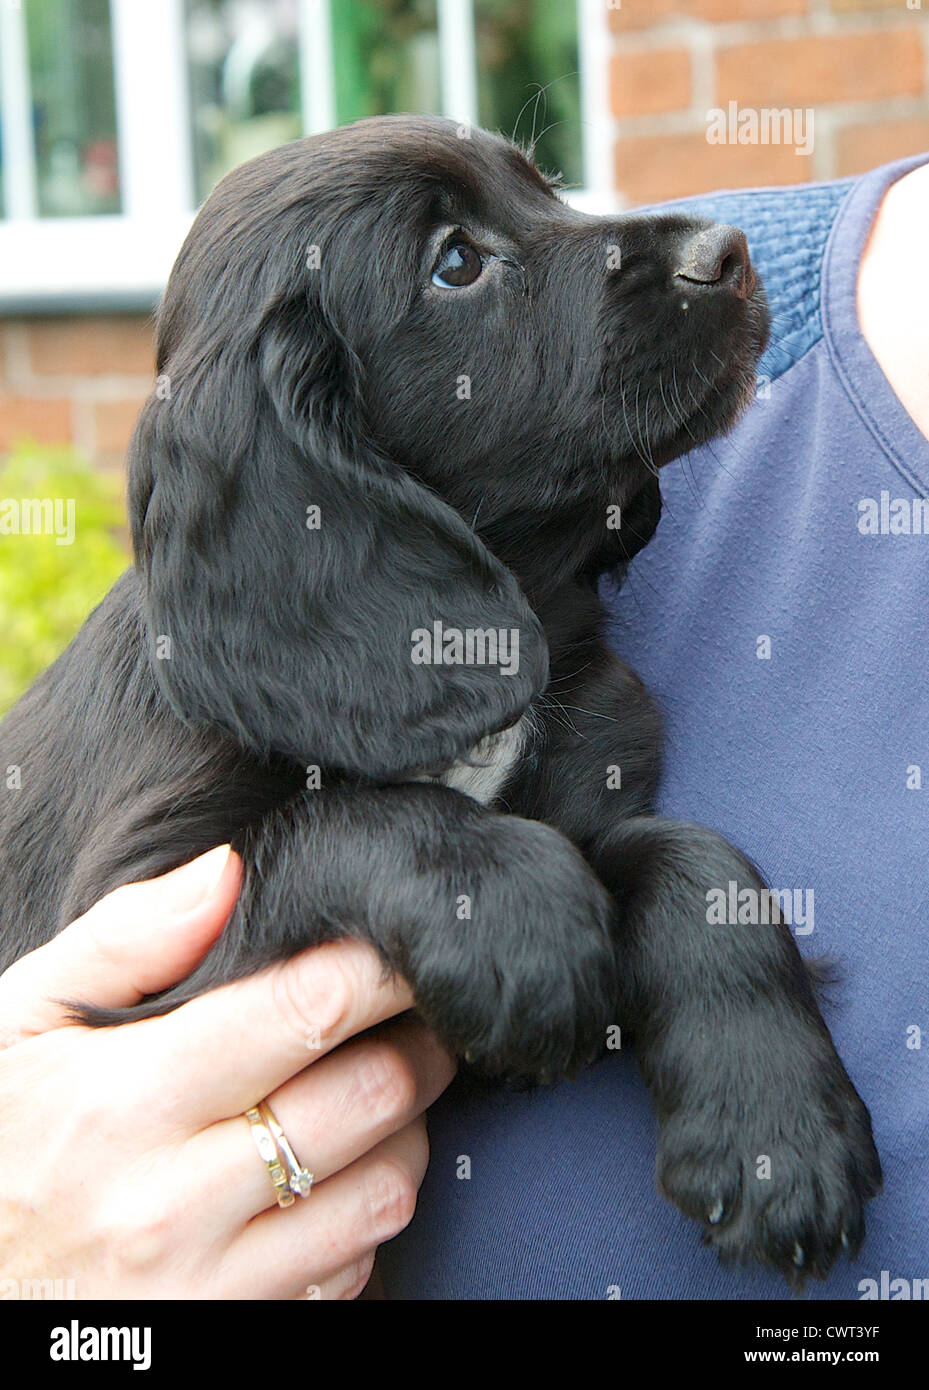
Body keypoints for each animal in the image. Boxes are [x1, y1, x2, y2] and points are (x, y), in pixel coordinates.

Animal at [0, 116, 878, 1278]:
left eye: (545, 185)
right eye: (454, 263)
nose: (727, 251)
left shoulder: (588, 795)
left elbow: (687, 857)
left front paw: (775, 1133)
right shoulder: (138, 934)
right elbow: (346, 819)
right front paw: (517, 917)